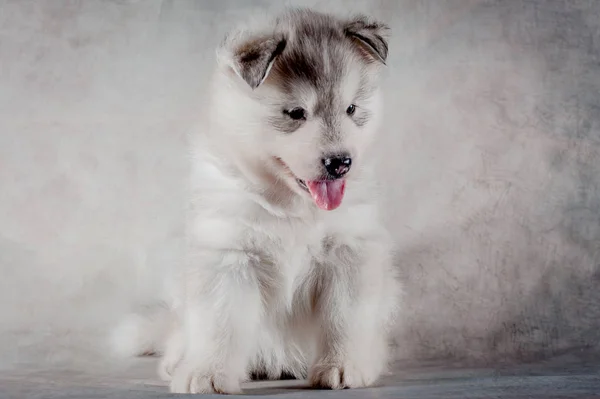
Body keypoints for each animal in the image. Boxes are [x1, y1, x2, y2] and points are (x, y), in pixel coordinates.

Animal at [113, 7, 404, 396]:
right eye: (296, 113)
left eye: (351, 108)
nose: (340, 162)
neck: (292, 205)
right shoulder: (228, 254)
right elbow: (219, 322)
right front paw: (207, 374)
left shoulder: (349, 251)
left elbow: (343, 318)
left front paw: (343, 366)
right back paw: (178, 359)